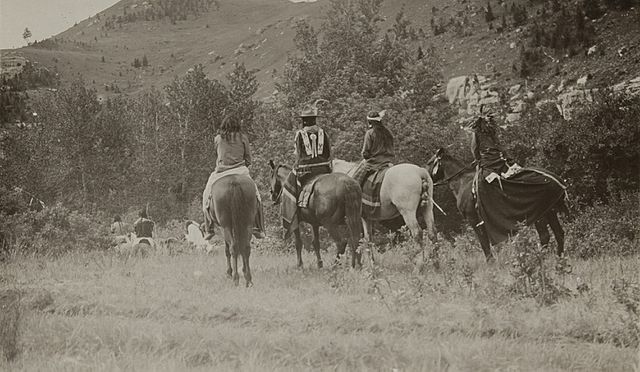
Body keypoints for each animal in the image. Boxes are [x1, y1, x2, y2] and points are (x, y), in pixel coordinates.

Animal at [424, 148, 564, 262]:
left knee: (545, 236)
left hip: (540, 214)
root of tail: (556, 179)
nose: (425, 177)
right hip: (550, 211)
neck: (462, 182)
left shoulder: (474, 220)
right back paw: (560, 260)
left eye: (429, 162)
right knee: (559, 233)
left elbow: (484, 243)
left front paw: (490, 262)